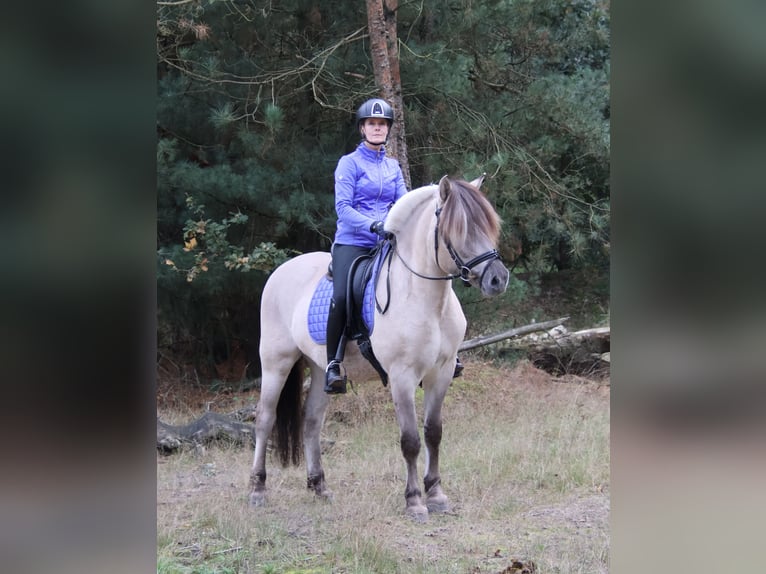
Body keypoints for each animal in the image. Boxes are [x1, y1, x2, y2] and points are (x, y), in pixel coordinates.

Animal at [248, 174, 510, 521]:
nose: (498, 279)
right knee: (264, 419)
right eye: (460, 230)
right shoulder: (402, 377)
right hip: (276, 362)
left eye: (489, 226)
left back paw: (319, 487)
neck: (425, 298)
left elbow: (434, 433)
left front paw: (436, 494)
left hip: (319, 368)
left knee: (311, 421)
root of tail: (281, 271)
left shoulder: (440, 374)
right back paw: (257, 489)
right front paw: (414, 501)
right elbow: (410, 440)